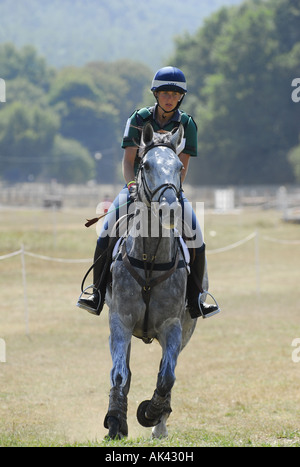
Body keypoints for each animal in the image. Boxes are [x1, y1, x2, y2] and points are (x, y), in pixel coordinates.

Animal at [103, 123, 199, 438]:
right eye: (145, 165)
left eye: (179, 166)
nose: (170, 210)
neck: (149, 261)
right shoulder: (120, 320)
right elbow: (120, 375)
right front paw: (116, 422)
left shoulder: (173, 326)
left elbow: (166, 377)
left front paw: (151, 413)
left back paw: (160, 425)